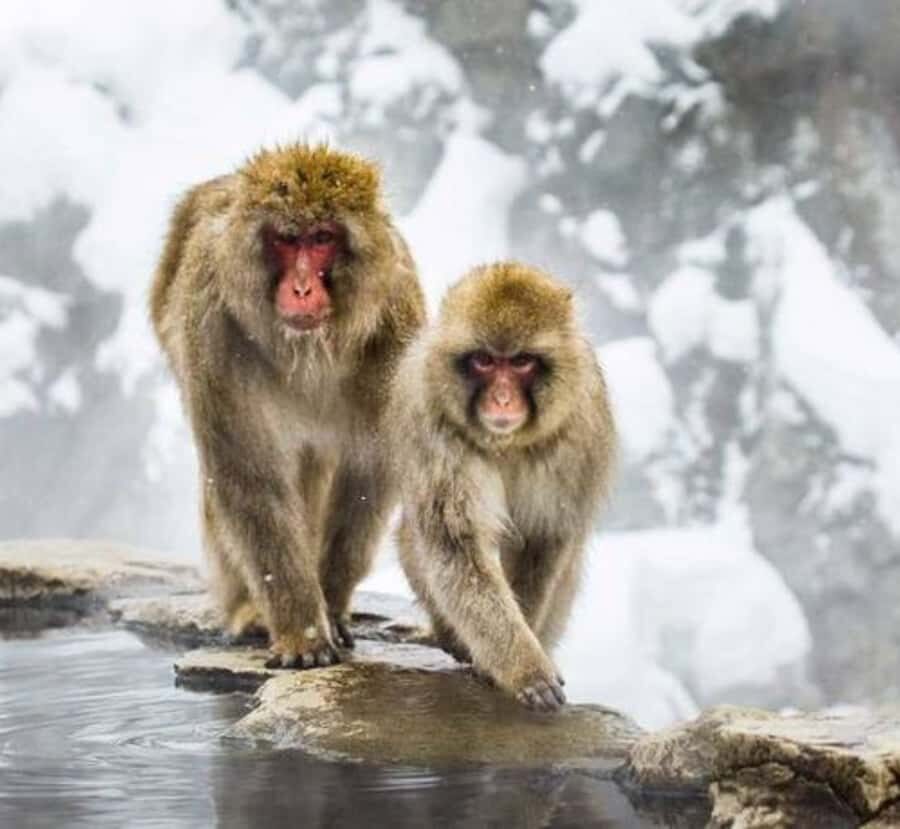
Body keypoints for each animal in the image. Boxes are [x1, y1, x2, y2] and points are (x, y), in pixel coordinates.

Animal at [150, 144, 425, 669]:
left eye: (321, 239)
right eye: (284, 238)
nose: (300, 289)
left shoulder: (394, 329)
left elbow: (370, 471)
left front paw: (330, 604)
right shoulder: (213, 330)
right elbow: (249, 475)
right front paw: (302, 630)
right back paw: (250, 611)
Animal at [389, 261, 615, 712]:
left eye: (522, 362)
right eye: (484, 361)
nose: (503, 400)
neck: (507, 442)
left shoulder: (577, 432)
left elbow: (543, 541)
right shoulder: (432, 425)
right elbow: (458, 549)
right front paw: (524, 670)